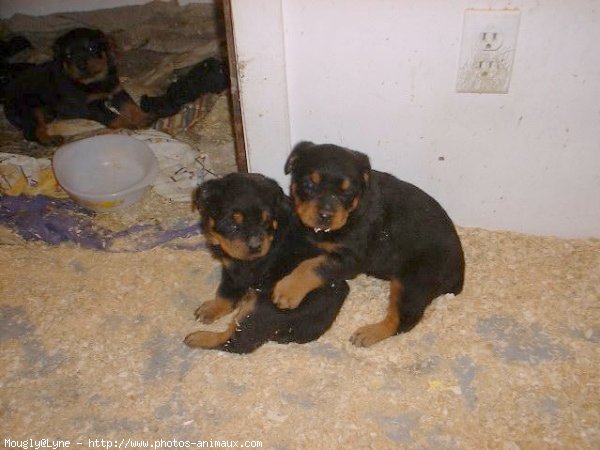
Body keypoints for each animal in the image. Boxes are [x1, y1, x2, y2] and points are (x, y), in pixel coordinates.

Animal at [3, 27, 154, 146]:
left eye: (92, 48)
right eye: (68, 55)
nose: (80, 65)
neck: (93, 81)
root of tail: (7, 100)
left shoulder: (116, 91)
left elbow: (130, 105)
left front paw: (143, 118)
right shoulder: (91, 106)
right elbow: (113, 116)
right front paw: (129, 125)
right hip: (32, 108)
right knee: (32, 131)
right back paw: (49, 140)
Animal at [185, 174, 350, 354]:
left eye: (266, 221)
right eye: (232, 224)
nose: (256, 246)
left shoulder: (242, 271)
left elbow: (227, 290)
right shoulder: (230, 268)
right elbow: (226, 292)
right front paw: (212, 309)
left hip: (262, 307)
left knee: (238, 342)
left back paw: (199, 338)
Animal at [272, 142, 464, 346]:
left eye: (347, 192)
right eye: (309, 184)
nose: (325, 215)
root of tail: (459, 271)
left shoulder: (352, 258)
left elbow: (313, 266)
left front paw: (287, 290)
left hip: (412, 281)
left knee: (404, 320)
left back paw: (369, 333)